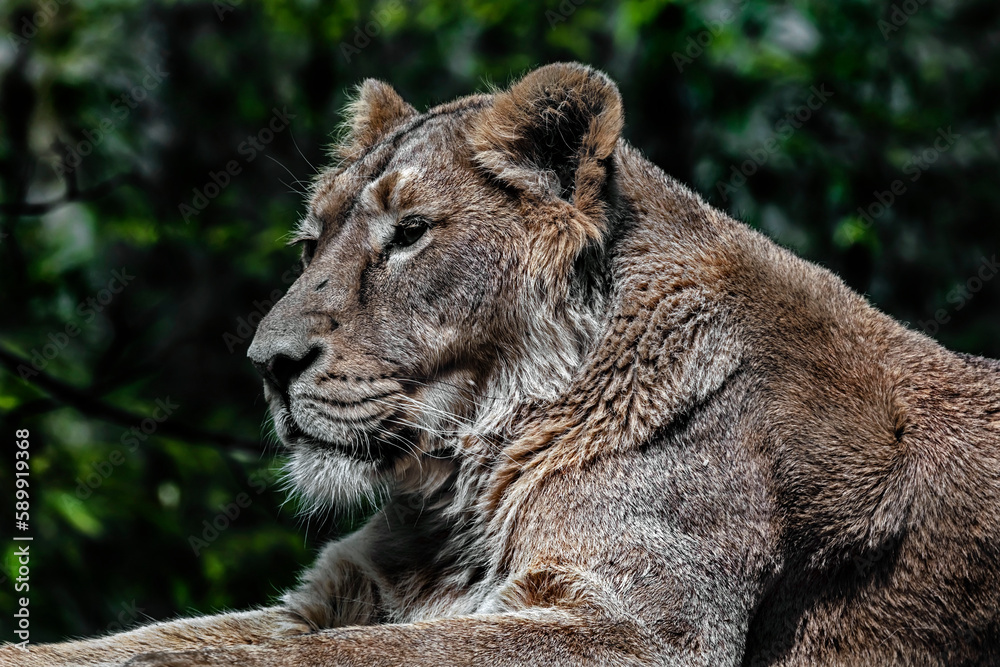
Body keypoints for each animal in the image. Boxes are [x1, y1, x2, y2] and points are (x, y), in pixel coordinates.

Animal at [6, 62, 999, 667]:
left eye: (409, 233)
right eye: (309, 244)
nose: (267, 363)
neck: (463, 490)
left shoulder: (636, 626)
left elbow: (298, 657)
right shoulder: (340, 594)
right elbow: (154, 639)